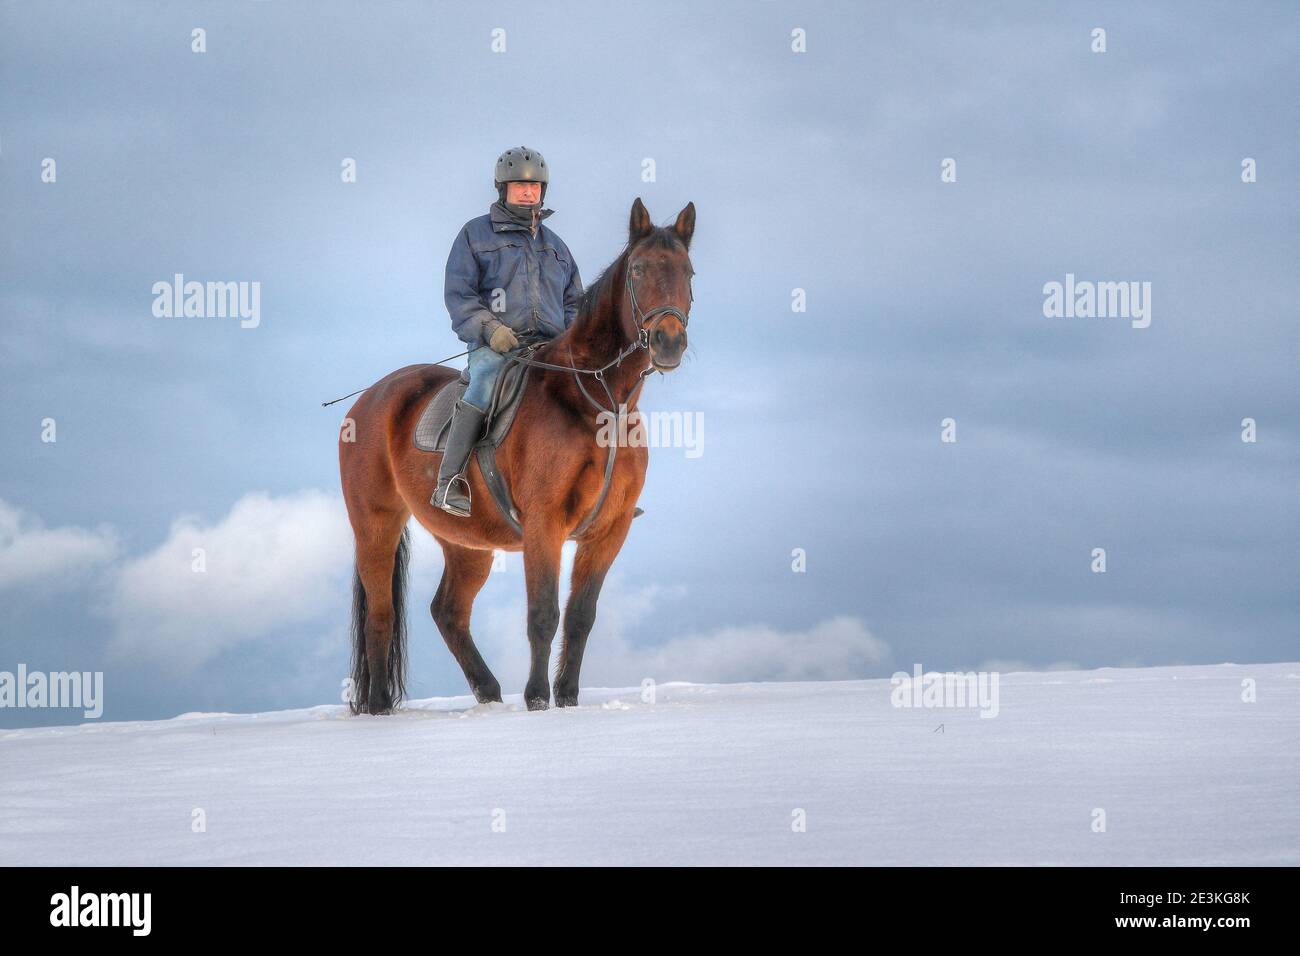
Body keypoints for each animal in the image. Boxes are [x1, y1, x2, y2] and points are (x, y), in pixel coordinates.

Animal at [340, 197, 696, 712]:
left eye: (688, 272)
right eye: (638, 269)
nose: (669, 342)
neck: (595, 400)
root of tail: (369, 399)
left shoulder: (609, 531)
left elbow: (581, 615)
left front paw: (567, 699)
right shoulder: (544, 524)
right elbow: (544, 613)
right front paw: (537, 700)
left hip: (468, 543)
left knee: (448, 611)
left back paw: (488, 693)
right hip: (376, 525)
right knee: (381, 614)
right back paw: (381, 706)